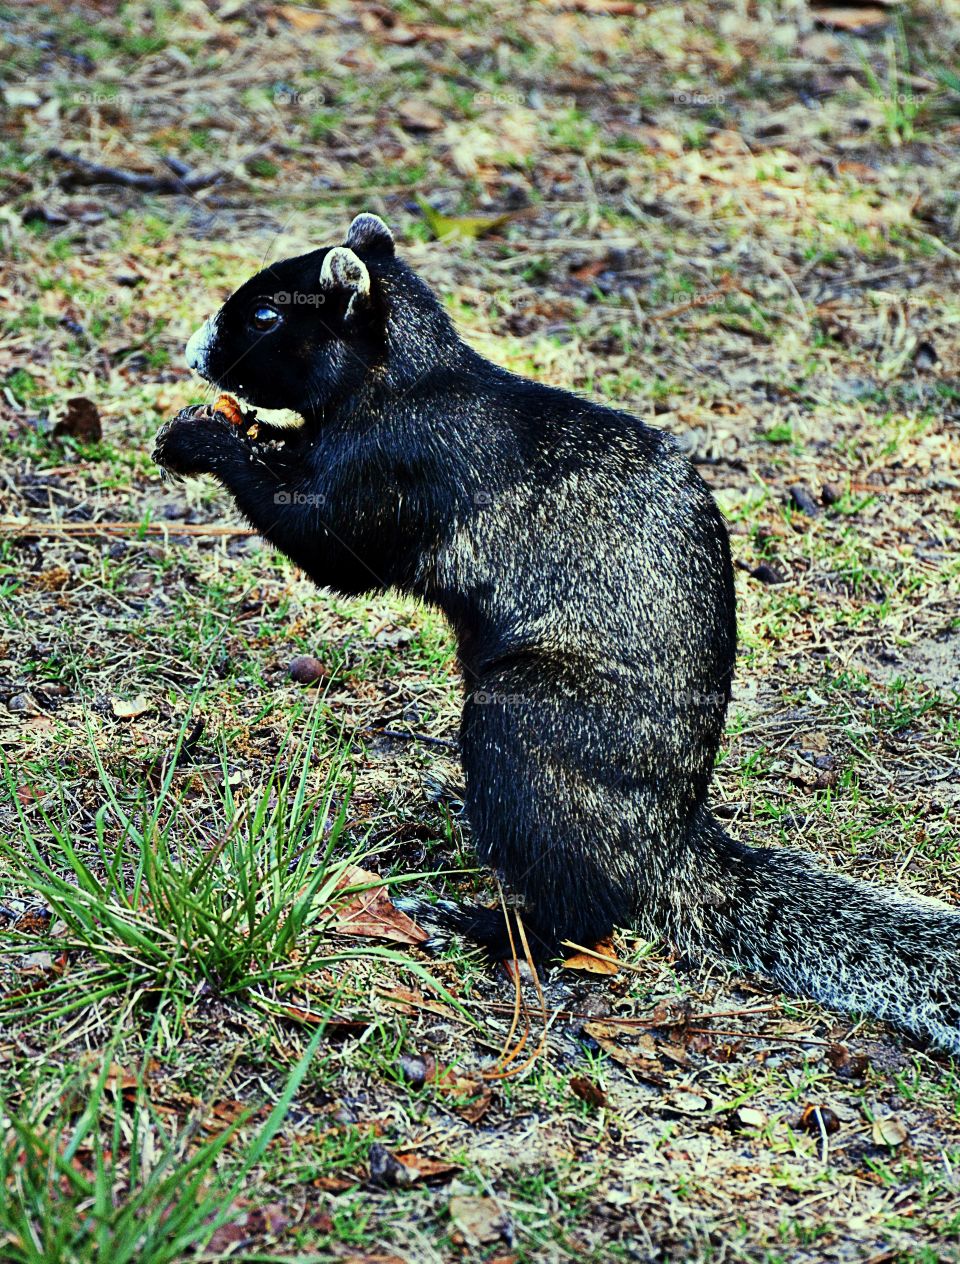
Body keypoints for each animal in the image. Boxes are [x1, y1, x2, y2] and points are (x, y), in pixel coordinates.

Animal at [155, 212, 960, 1051]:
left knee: (578, 918)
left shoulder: (399, 472)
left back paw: (477, 922)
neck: (406, 385)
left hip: (523, 725)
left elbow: (323, 538)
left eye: (267, 316)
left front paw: (202, 439)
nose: (193, 349)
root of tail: (663, 845)